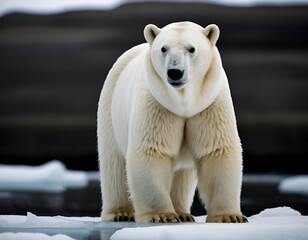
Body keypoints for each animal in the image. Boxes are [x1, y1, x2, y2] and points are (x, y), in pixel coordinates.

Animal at [97, 21, 247, 223]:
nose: (175, 72)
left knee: (182, 174)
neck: (184, 104)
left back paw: (183, 213)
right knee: (114, 165)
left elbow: (216, 150)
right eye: (163, 48)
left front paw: (229, 216)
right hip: (110, 108)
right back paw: (120, 213)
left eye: (191, 48)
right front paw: (162, 216)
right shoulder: (157, 105)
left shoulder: (210, 106)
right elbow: (152, 150)